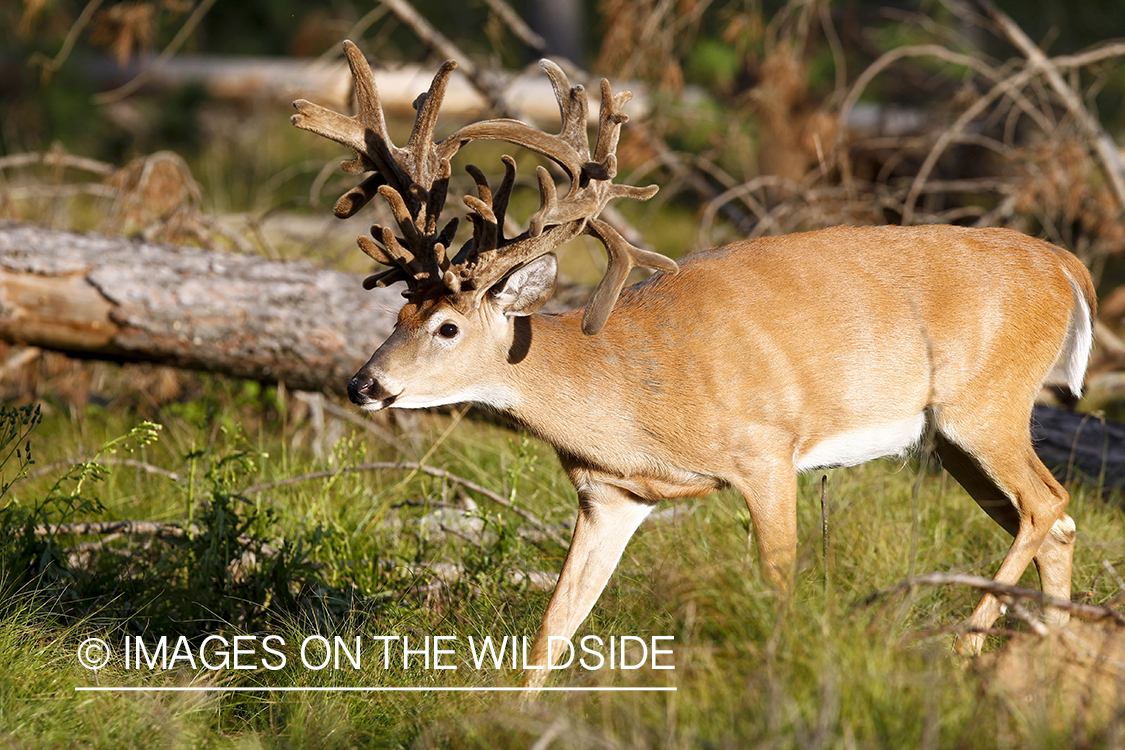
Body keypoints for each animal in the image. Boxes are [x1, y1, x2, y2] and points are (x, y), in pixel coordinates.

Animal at [288, 39, 1089, 688]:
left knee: (1047, 504)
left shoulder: (766, 449)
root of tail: (1063, 263)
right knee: (1053, 521)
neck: (628, 394)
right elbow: (553, 629)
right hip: (947, 438)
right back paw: (1052, 661)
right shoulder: (608, 496)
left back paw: (967, 646)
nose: (363, 383)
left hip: (984, 402)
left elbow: (777, 587)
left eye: (448, 326)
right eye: (397, 315)